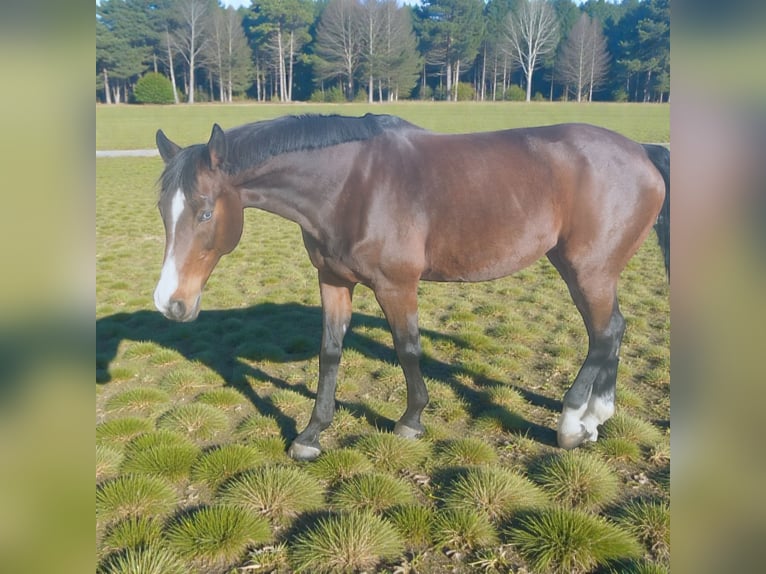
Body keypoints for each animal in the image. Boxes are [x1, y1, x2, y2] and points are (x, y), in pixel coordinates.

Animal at [153, 113, 669, 461]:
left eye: (204, 212)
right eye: (162, 210)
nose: (170, 302)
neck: (350, 185)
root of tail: (643, 150)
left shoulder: (396, 285)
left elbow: (407, 348)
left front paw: (411, 420)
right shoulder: (333, 280)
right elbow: (330, 353)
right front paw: (311, 435)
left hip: (588, 270)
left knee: (604, 334)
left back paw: (571, 425)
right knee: (614, 331)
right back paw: (597, 417)